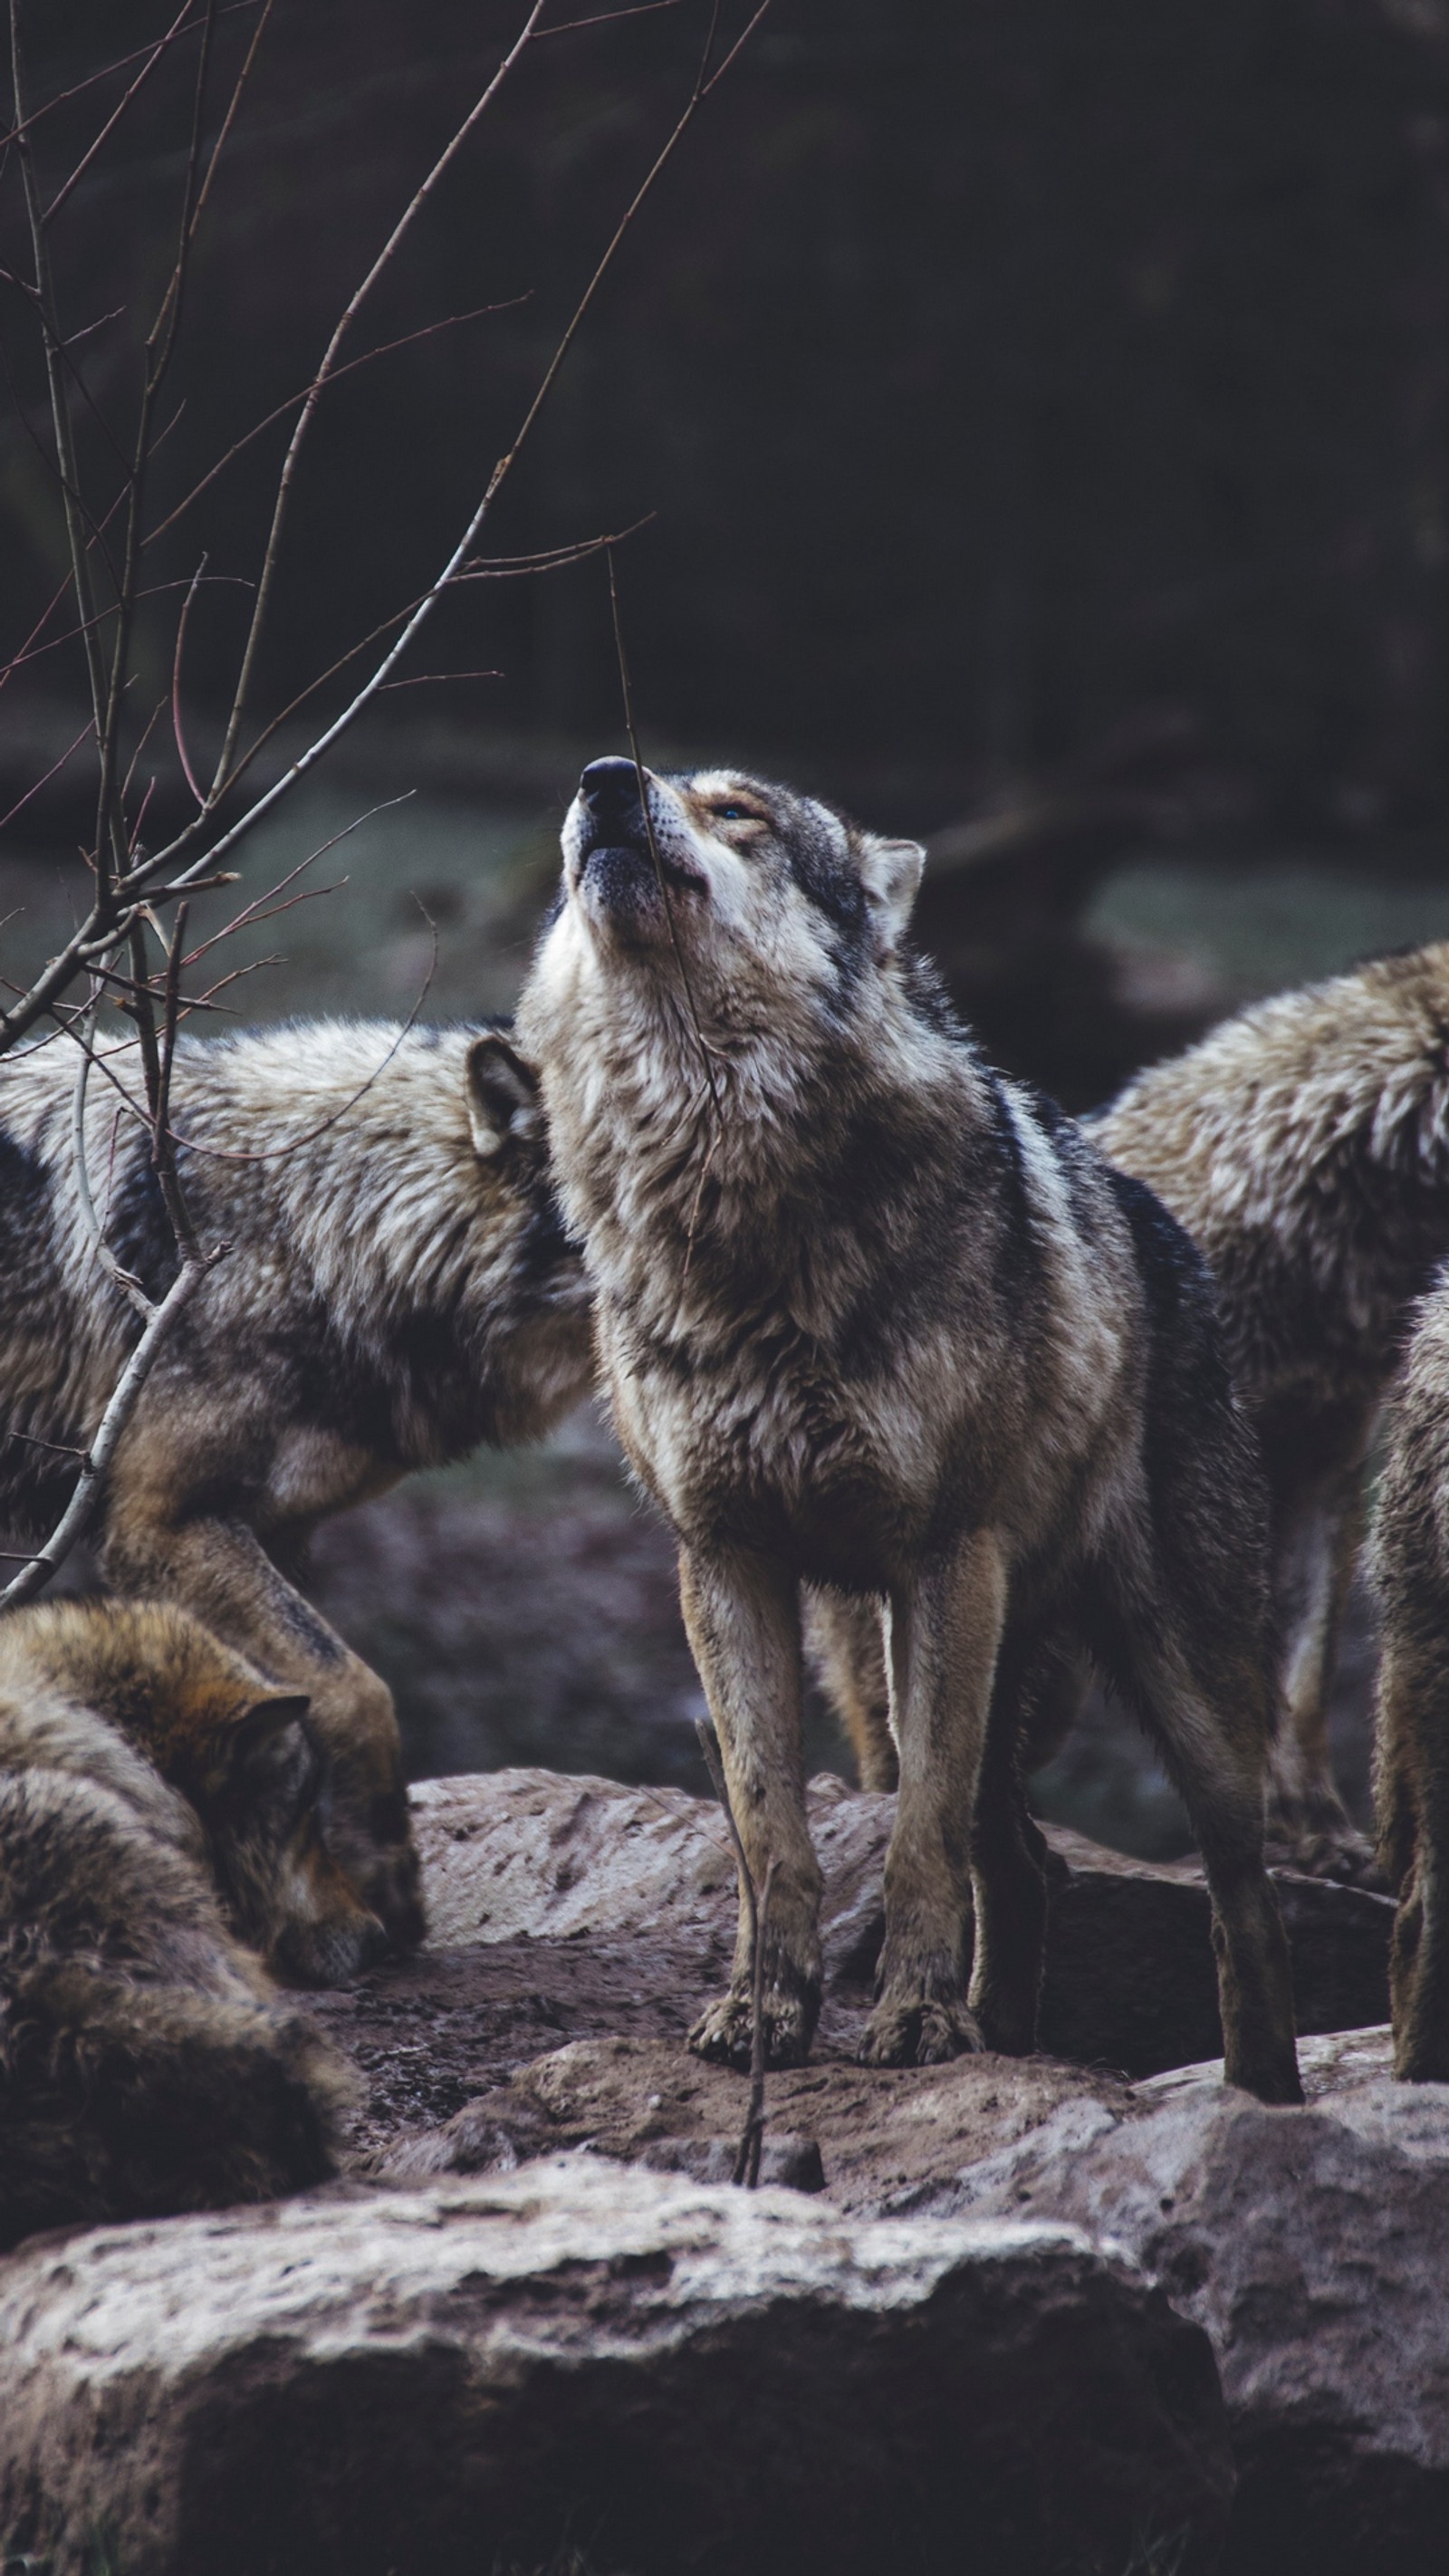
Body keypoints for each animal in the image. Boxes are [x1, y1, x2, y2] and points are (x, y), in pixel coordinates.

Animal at [0, 1014, 594, 1957]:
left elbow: (296, 1708)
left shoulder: (280, 1532)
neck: (312, 1230)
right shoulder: (165, 1524)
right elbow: (354, 1689)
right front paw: (381, 1882)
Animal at [520, 752, 1302, 2101]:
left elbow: (916, 1840)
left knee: (1239, 1901)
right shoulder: (723, 1561)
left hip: (1174, 1688)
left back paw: (1262, 2099)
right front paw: (766, 2017)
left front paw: (919, 2024)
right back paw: (1008, 2038)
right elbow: (769, 1829)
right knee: (1029, 1864)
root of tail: (1160, 1222)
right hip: (914, 1658)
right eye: (625, 782)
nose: (605, 779)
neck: (725, 1192)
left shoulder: (944, 1555)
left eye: (741, 812)